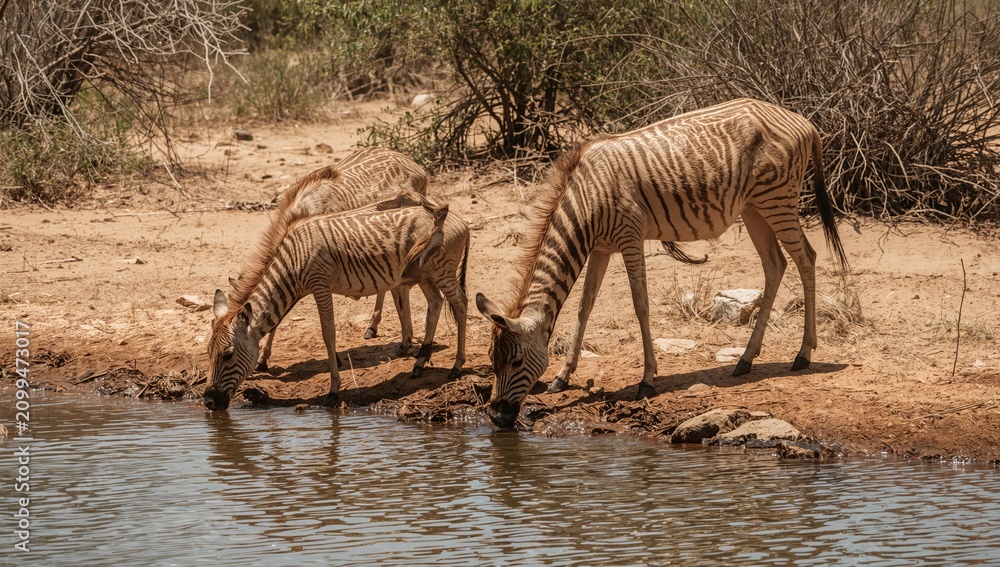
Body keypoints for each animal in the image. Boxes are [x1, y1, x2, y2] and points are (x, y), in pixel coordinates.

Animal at [204, 191, 471, 411]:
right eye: (208, 353)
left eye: (227, 355)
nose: (208, 402)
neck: (292, 261)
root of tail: (460, 220)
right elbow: (281, 324)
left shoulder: (320, 285)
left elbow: (328, 334)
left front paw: (333, 392)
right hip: (425, 273)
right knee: (435, 304)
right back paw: (419, 364)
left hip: (441, 271)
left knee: (461, 303)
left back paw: (456, 367)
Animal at [475, 98, 848, 428]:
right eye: (493, 362)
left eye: (516, 361)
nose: (495, 416)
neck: (585, 203)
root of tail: (802, 121)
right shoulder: (600, 249)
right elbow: (584, 307)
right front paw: (563, 377)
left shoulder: (630, 236)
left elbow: (640, 304)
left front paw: (647, 379)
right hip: (753, 207)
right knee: (775, 264)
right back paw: (745, 359)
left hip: (777, 199)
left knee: (806, 258)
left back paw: (803, 355)